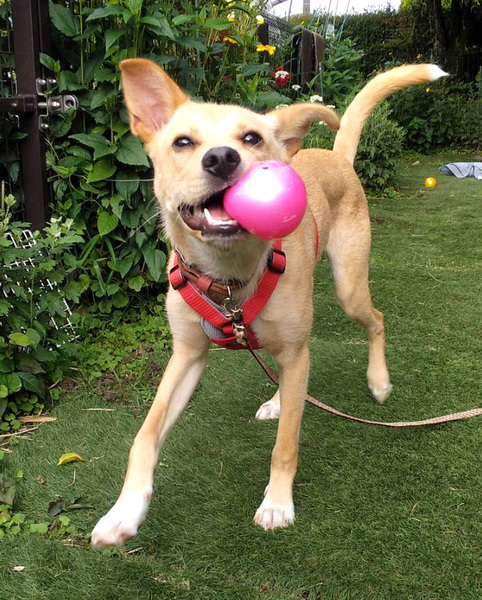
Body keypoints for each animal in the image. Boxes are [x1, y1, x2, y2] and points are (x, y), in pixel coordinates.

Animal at [91, 60, 446, 548]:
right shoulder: (187, 355)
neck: (228, 279)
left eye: (251, 138)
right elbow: (144, 437)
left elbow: (285, 445)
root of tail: (336, 156)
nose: (222, 158)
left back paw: (378, 380)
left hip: (348, 287)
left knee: (374, 319)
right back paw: (280, 398)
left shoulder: (294, 352)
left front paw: (277, 504)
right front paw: (123, 512)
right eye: (182, 142)